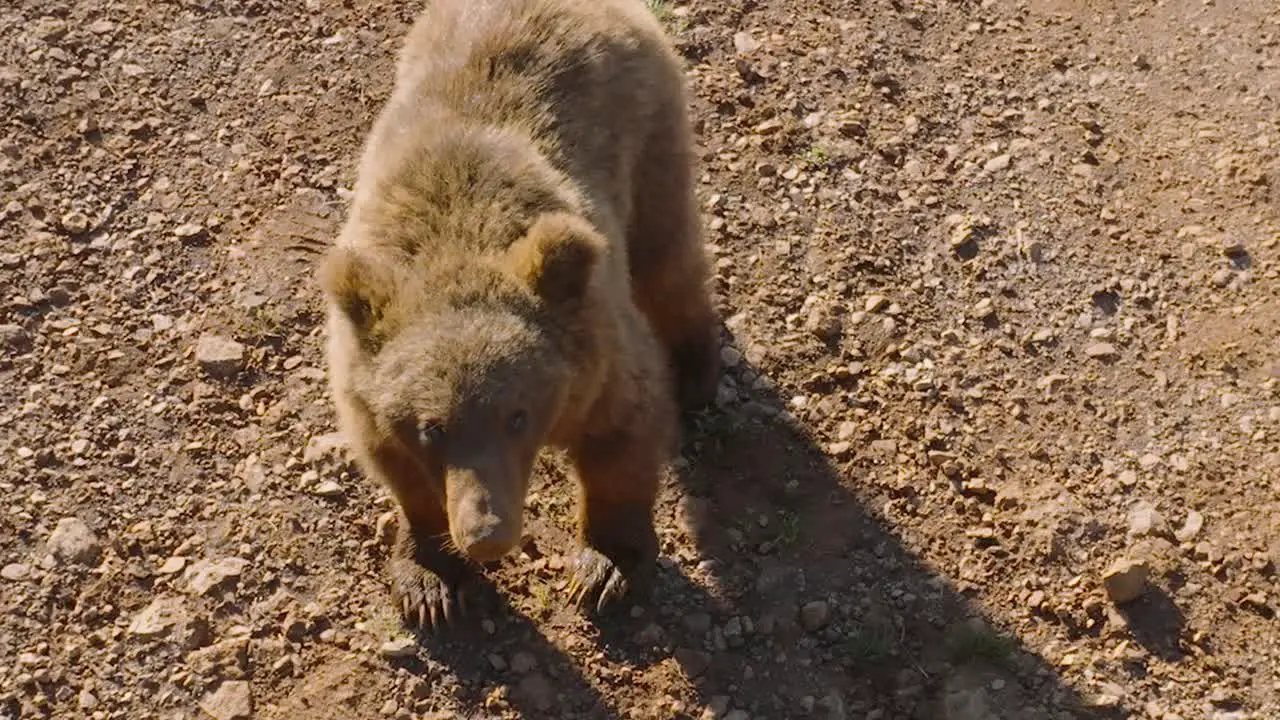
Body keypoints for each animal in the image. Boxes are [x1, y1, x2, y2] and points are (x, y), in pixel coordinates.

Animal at [314, 0, 721, 627]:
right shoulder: (365, 388)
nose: (488, 534)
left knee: (667, 258)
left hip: (650, 132)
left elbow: (623, 437)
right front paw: (430, 581)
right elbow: (405, 478)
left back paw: (698, 374)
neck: (453, 239)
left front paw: (607, 569)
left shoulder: (595, 354)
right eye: (433, 428)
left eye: (517, 416)